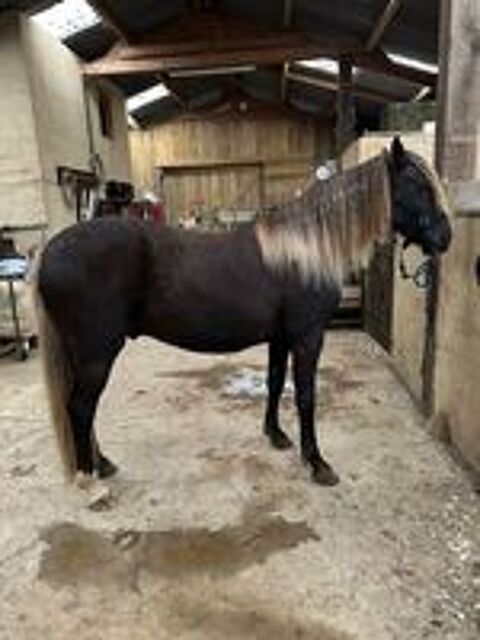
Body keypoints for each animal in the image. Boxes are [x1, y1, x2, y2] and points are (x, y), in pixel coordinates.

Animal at [34, 137, 452, 489]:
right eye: (417, 185)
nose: (445, 238)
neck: (305, 249)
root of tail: (49, 252)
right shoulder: (307, 337)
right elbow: (305, 396)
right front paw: (317, 463)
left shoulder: (280, 337)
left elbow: (274, 382)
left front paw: (276, 435)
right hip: (97, 353)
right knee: (80, 407)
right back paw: (90, 481)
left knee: (82, 410)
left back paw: (101, 465)